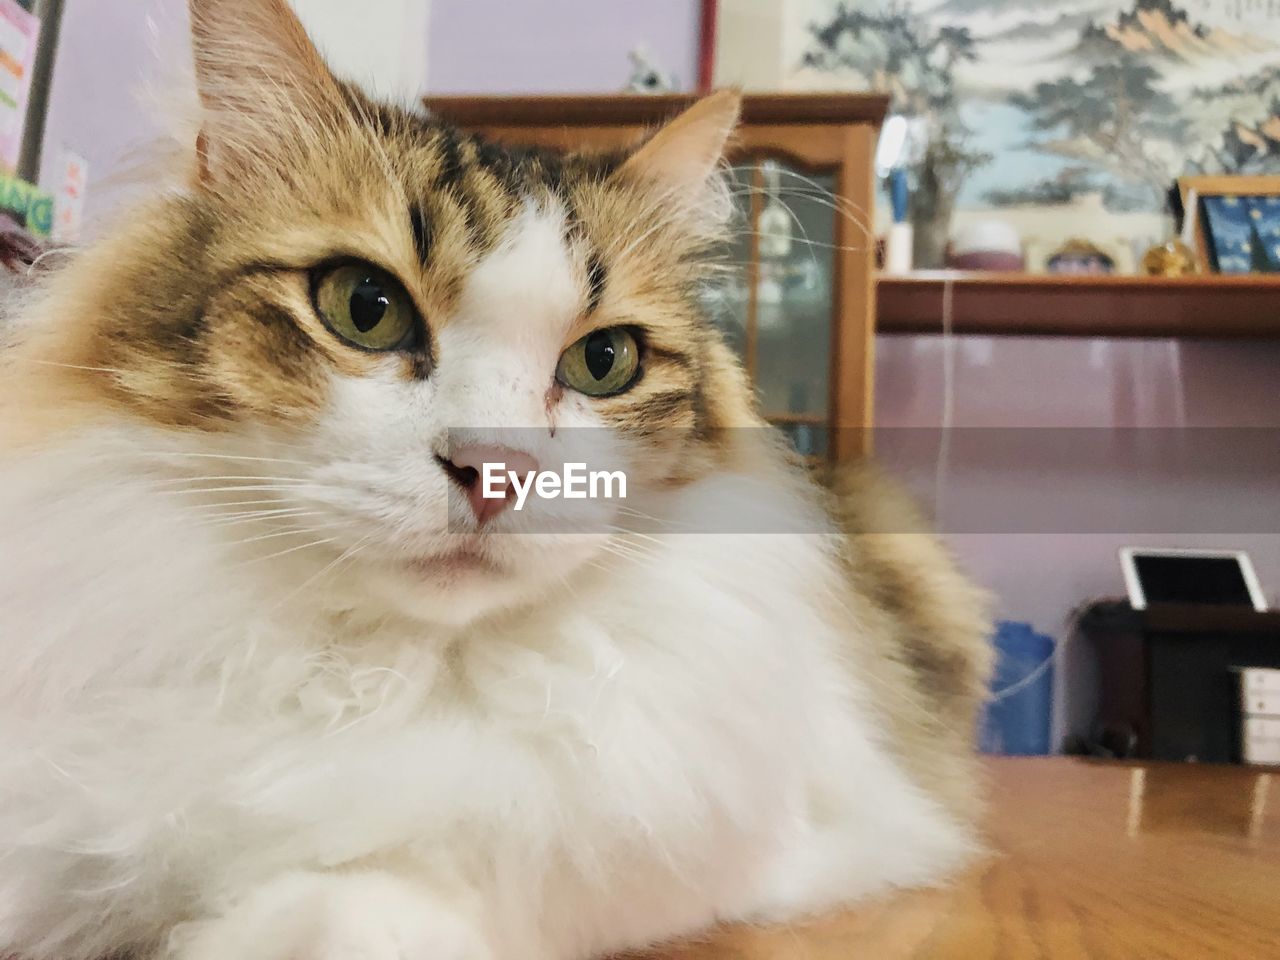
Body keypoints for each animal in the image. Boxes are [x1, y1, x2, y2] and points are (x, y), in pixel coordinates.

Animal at [0, 1, 988, 960]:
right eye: (364, 307)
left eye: (604, 361)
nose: (494, 471)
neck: (379, 672)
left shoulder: (773, 837)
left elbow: (391, 900)